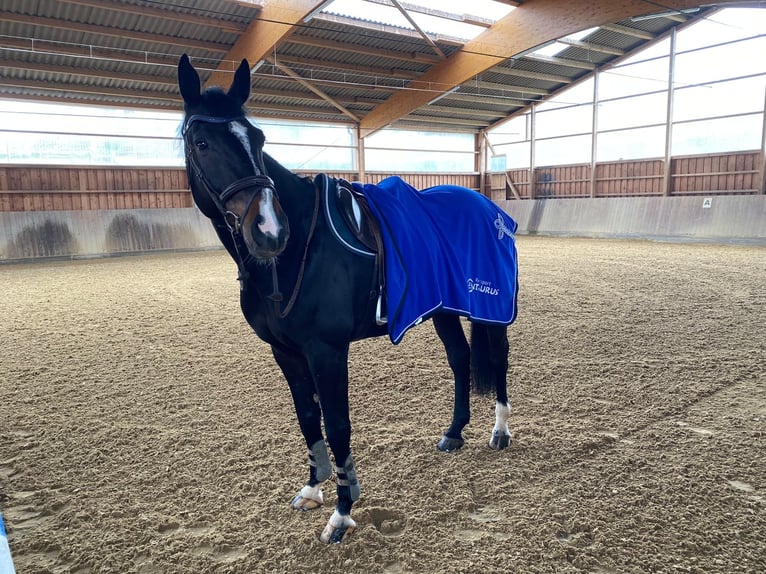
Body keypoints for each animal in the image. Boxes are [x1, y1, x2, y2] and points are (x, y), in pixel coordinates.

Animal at [177, 54, 516, 544]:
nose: (269, 231)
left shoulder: (327, 351)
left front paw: (341, 513)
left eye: (258, 138)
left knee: (499, 359)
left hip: (490, 308)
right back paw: (454, 432)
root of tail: (488, 207)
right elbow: (307, 418)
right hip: (446, 310)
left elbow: (337, 425)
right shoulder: (285, 353)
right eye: (201, 142)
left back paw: (501, 431)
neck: (299, 247)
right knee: (460, 358)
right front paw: (312, 489)